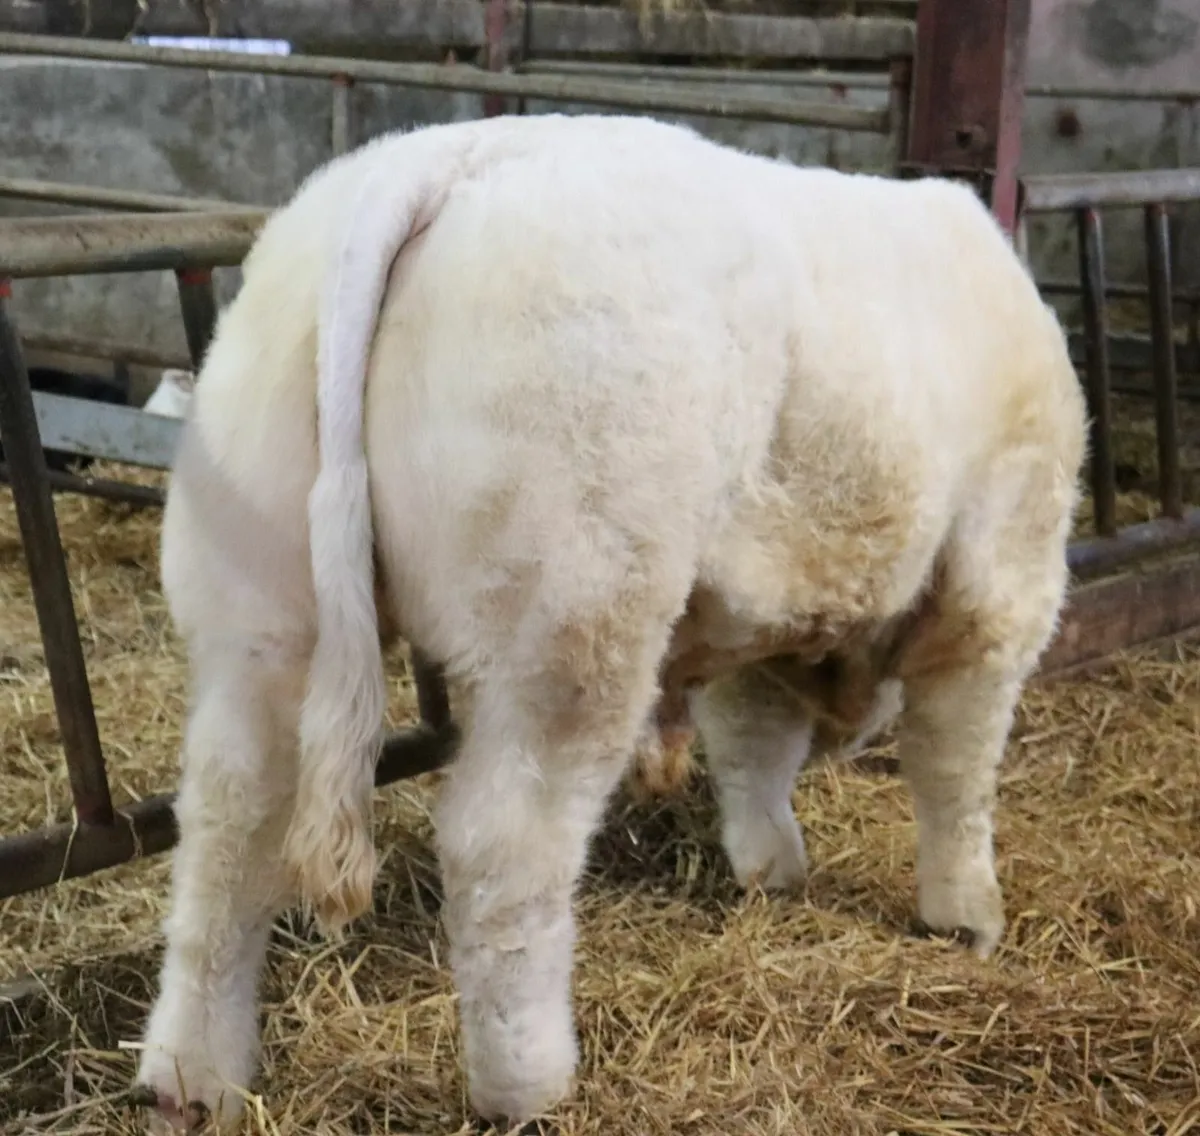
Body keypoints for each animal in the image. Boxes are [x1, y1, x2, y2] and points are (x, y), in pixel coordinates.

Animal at [132, 113, 1088, 1132]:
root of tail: (439, 160)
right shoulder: (1000, 580)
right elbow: (955, 766)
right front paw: (966, 913)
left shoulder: (755, 613)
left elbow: (752, 741)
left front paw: (769, 867)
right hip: (570, 616)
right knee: (502, 842)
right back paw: (528, 1084)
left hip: (258, 604)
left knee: (231, 822)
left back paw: (193, 1078)